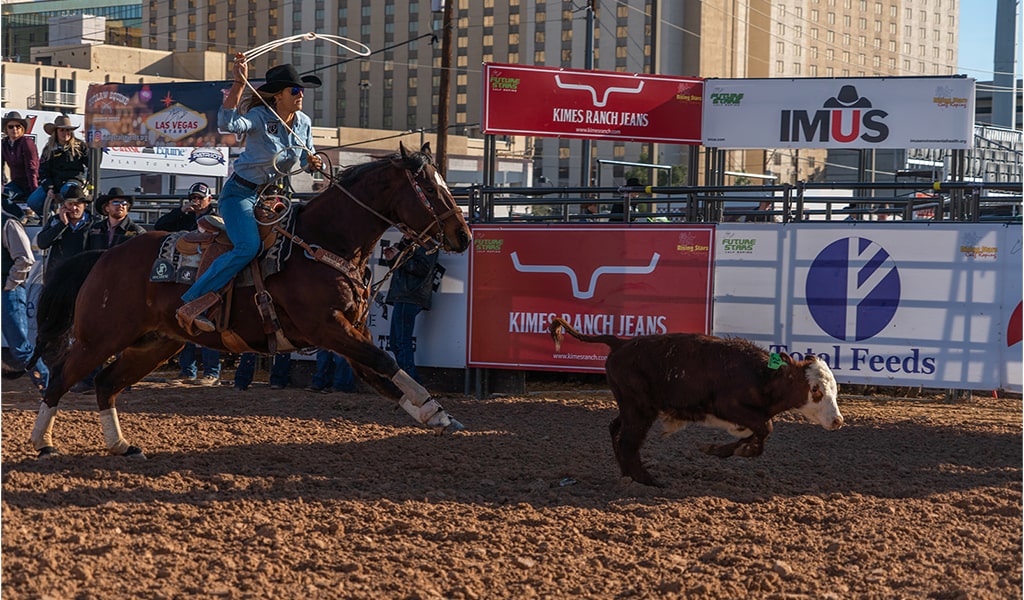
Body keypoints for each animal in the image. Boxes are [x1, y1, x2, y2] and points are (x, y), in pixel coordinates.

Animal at [13, 143, 473, 459]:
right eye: (429, 187)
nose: (463, 236)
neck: (322, 243)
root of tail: (105, 255)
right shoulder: (328, 328)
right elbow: (385, 363)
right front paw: (435, 410)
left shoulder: (349, 333)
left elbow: (384, 373)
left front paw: (436, 414)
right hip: (102, 336)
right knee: (62, 375)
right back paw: (43, 442)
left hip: (156, 344)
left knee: (106, 383)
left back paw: (121, 445)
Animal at [549, 317, 844, 486]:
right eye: (815, 390)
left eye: (835, 389)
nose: (838, 420)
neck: (761, 376)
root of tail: (620, 343)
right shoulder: (728, 406)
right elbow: (766, 427)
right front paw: (733, 450)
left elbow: (757, 432)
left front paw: (721, 449)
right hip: (640, 409)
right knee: (628, 442)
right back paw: (648, 481)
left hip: (630, 405)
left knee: (616, 430)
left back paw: (628, 475)